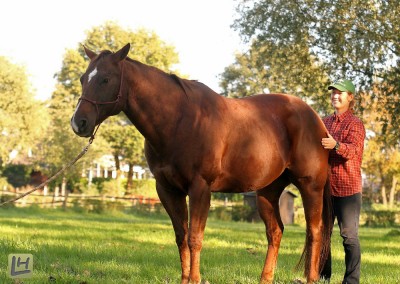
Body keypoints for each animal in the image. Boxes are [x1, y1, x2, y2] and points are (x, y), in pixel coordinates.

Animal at [71, 43, 332, 282]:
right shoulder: (168, 190)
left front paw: (195, 278)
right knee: (275, 232)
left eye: (105, 79)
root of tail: (315, 118)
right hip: (268, 191)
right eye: (83, 78)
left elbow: (194, 238)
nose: (78, 123)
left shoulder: (200, 188)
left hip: (310, 186)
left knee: (314, 232)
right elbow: (181, 236)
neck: (179, 120)